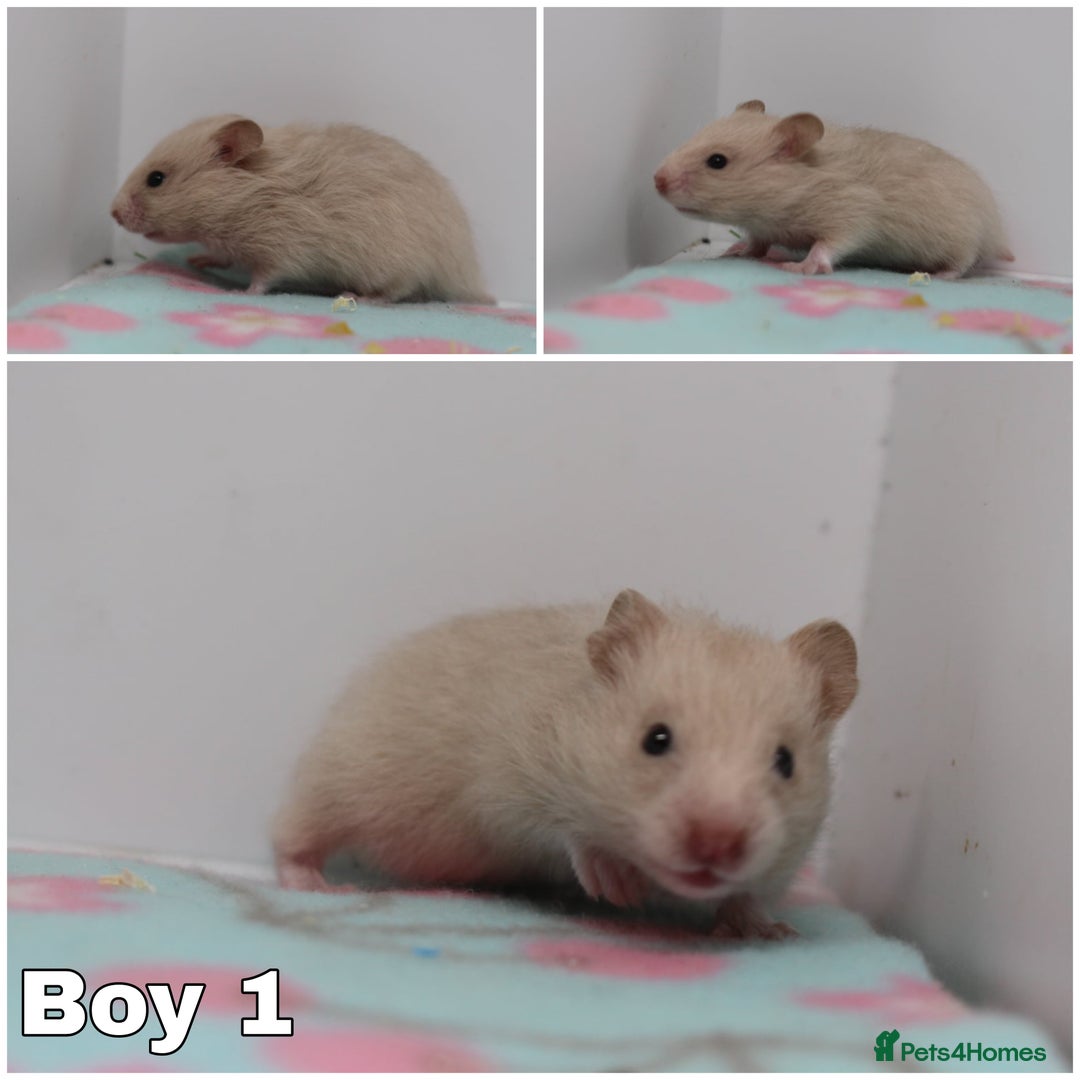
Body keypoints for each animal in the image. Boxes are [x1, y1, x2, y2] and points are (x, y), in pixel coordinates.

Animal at [110, 115, 493, 302]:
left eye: (156, 179)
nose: (112, 213)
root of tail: (469, 275)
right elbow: (221, 257)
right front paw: (196, 260)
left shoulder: (282, 248)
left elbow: (263, 279)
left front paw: (237, 292)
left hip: (395, 263)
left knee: (400, 291)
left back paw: (357, 297)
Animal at [273, 589, 858, 940]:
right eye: (655, 739)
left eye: (785, 761)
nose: (716, 845)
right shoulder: (506, 783)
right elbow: (564, 828)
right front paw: (617, 889)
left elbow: (750, 894)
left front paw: (766, 931)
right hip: (338, 776)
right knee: (292, 835)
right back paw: (321, 888)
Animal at [654, 99, 1013, 278]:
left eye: (717, 161)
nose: (656, 180)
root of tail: (997, 233)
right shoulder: (763, 228)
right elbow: (756, 243)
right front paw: (734, 251)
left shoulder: (852, 212)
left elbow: (829, 245)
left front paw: (799, 267)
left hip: (965, 240)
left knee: (963, 263)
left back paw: (939, 276)